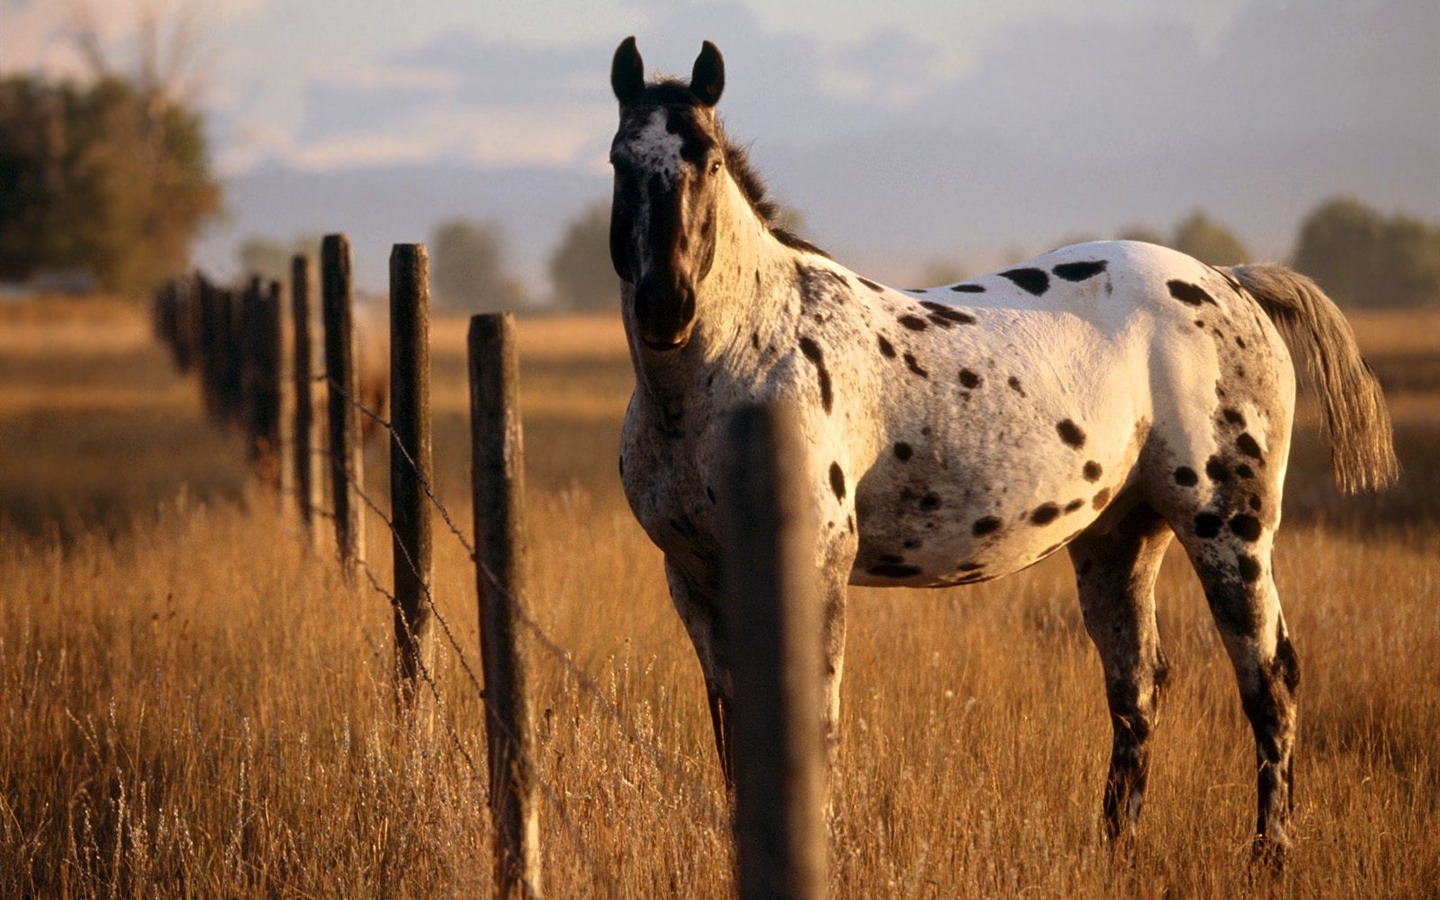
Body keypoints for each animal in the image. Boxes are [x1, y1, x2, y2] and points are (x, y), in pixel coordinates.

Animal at [604, 36, 1393, 864]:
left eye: (706, 161)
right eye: (620, 160)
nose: (666, 307)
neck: (746, 359)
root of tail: (1234, 281)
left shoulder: (815, 566)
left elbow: (814, 719)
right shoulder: (695, 579)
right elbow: (732, 726)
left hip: (1229, 530)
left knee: (1270, 679)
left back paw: (1271, 853)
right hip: (1120, 537)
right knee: (1138, 686)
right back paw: (1117, 846)